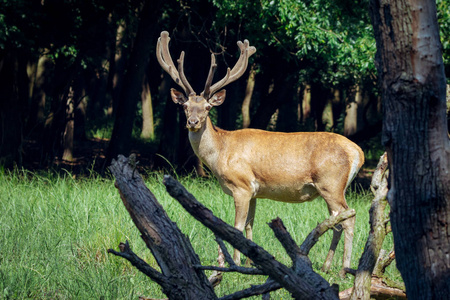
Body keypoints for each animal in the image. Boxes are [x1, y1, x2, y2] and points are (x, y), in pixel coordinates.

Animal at [156, 31, 364, 276]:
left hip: (331, 183)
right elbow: (249, 224)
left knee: (348, 217)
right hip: (332, 188)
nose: (193, 122)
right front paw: (250, 262)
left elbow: (236, 226)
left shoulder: (241, 185)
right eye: (185, 106)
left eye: (208, 107)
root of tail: (358, 152)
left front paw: (235, 263)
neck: (221, 153)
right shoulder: (254, 191)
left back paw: (344, 269)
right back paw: (326, 265)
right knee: (336, 221)